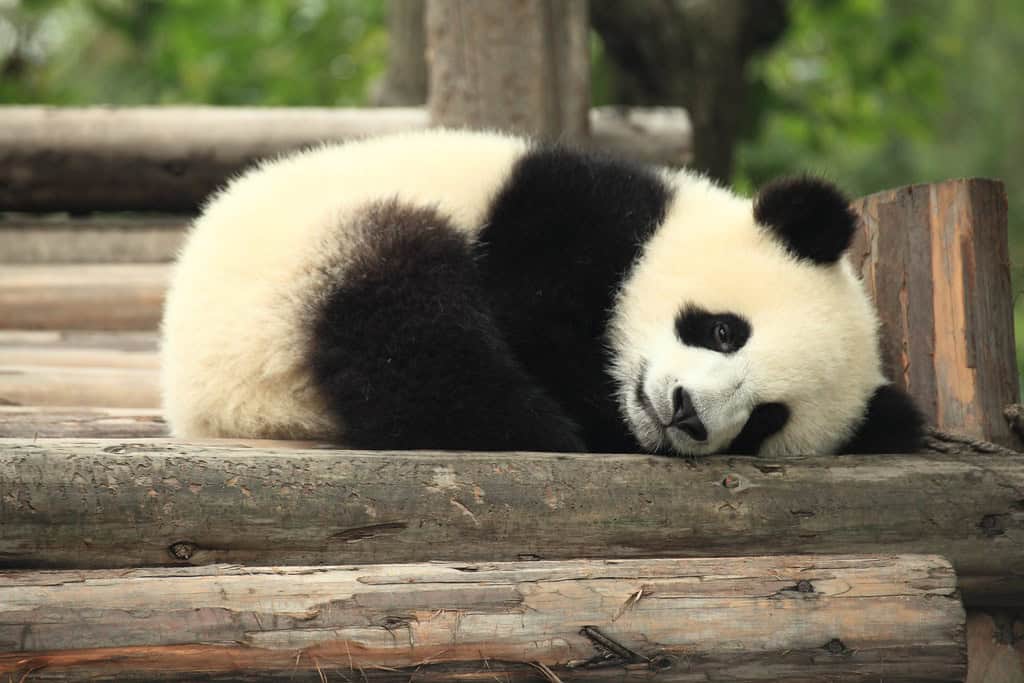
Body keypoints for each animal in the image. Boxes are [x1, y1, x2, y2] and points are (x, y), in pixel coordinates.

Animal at [160, 129, 924, 456]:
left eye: (767, 419)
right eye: (724, 330)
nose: (685, 415)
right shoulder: (565, 217)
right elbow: (529, 319)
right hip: (298, 271)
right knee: (411, 327)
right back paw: (541, 427)